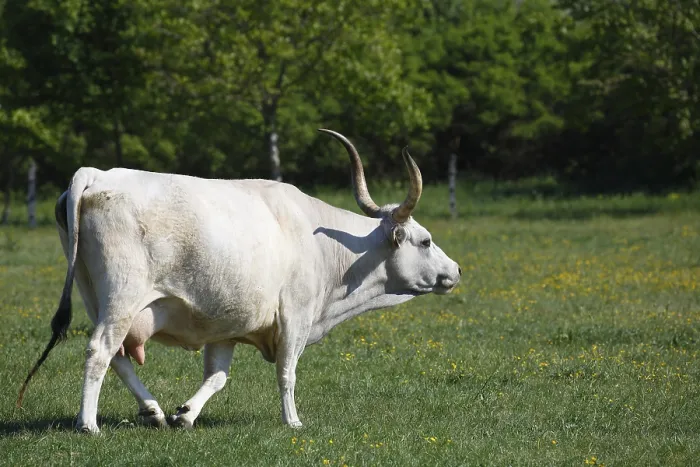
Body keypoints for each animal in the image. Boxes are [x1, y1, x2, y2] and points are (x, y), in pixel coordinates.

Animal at [17, 129, 461, 433]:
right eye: (425, 240)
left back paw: (154, 410)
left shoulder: (225, 328)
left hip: (95, 296)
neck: (325, 245)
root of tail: (95, 175)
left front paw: (185, 414)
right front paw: (293, 421)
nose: (455, 271)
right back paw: (88, 424)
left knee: (119, 357)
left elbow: (217, 377)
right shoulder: (295, 316)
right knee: (99, 351)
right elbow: (287, 372)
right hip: (122, 298)